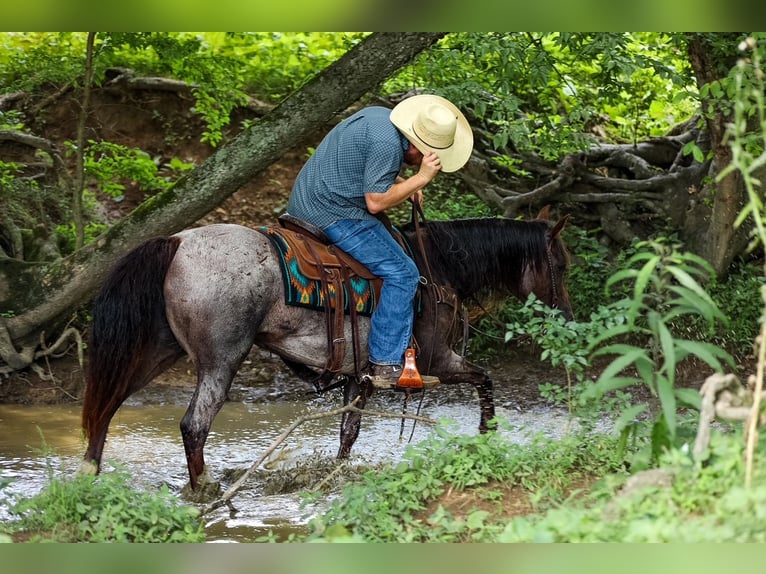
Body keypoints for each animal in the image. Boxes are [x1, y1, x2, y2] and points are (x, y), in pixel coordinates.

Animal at [81, 207, 572, 492]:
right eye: (563, 265)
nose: (567, 313)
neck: (438, 268)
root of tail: (178, 242)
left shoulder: (361, 375)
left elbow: (348, 433)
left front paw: (335, 474)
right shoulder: (438, 360)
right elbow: (485, 379)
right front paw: (487, 436)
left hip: (158, 350)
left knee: (107, 404)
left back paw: (89, 472)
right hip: (221, 360)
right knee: (193, 425)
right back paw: (205, 490)